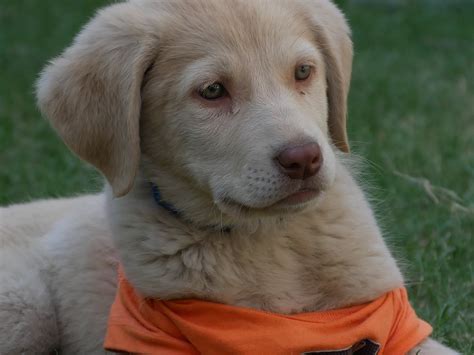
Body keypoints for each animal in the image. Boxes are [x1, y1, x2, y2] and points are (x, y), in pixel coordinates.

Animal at [0, 0, 460, 354]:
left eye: (303, 71)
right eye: (212, 91)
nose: (304, 159)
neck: (268, 239)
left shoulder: (395, 328)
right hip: (24, 311)